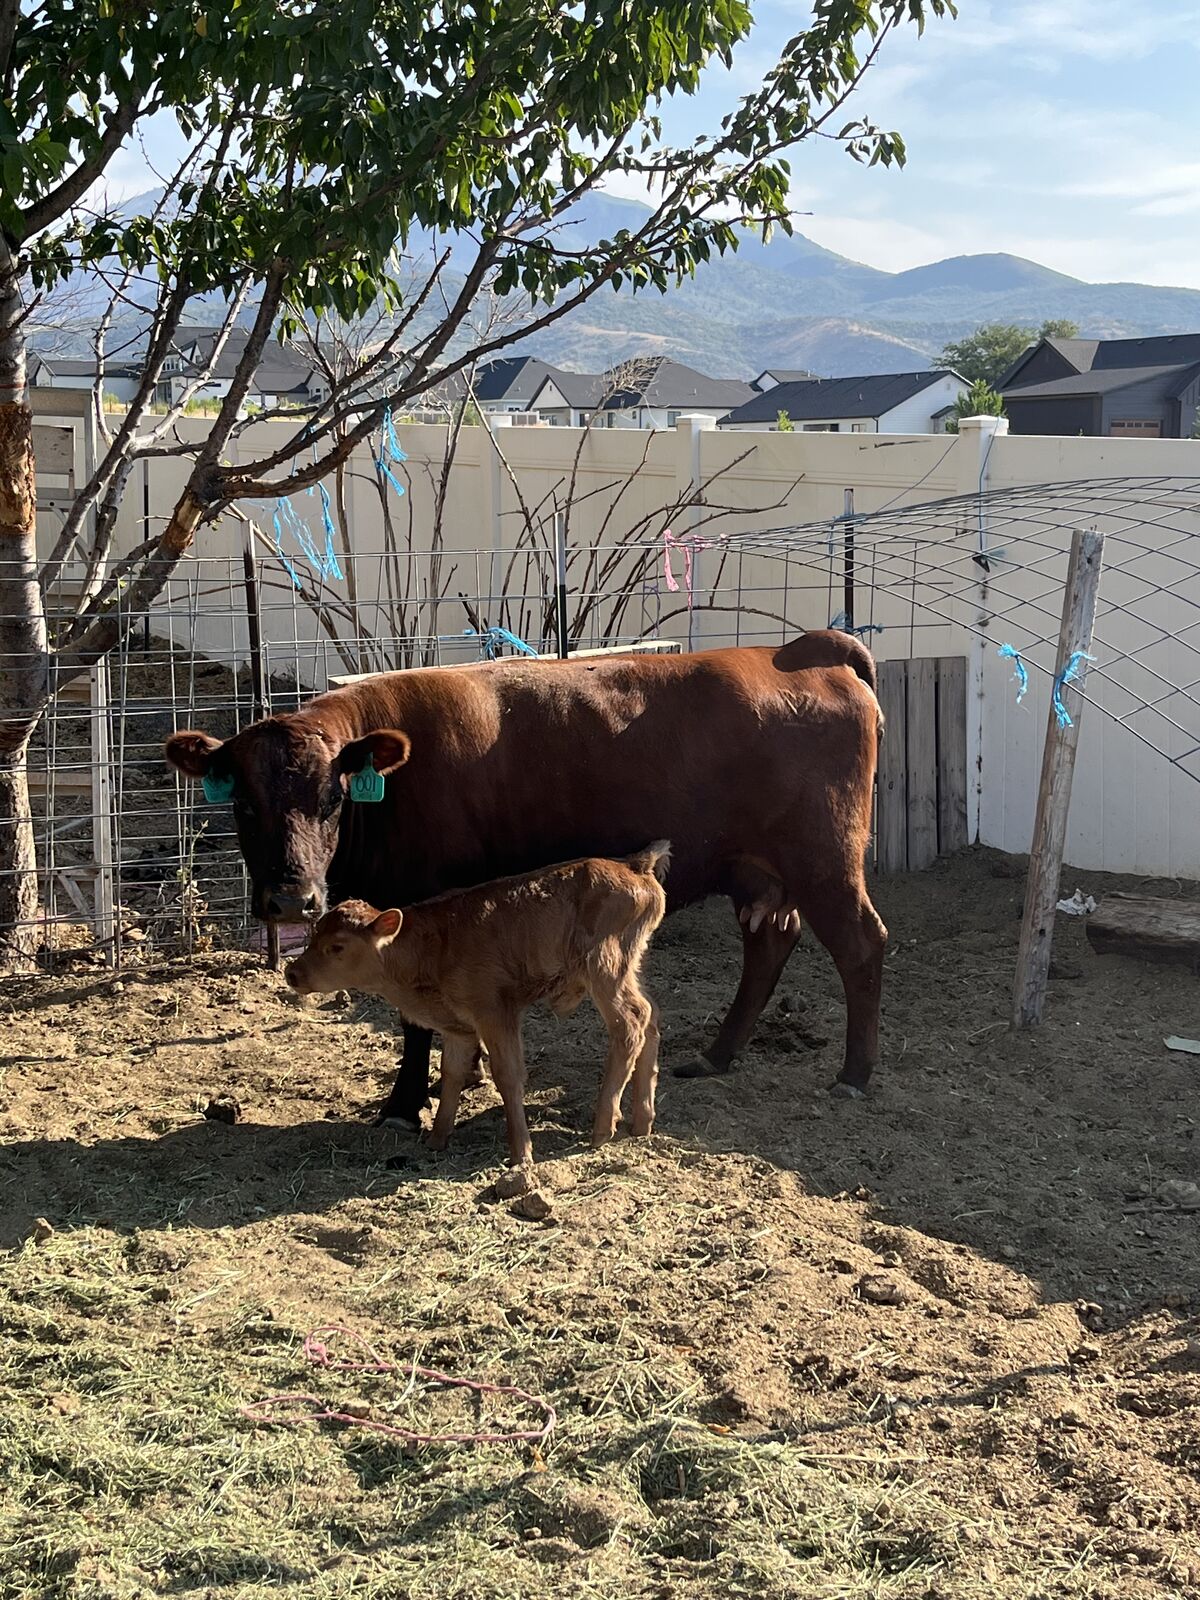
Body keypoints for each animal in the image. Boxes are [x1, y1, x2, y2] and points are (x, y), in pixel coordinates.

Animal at [164, 630, 886, 1130]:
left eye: (332, 798)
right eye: (243, 803)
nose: (292, 898)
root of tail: (799, 650)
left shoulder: (420, 908)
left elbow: (415, 1021)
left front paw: (404, 1102)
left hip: (825, 860)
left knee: (860, 947)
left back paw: (855, 1074)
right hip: (756, 871)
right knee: (769, 944)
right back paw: (717, 1054)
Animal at [284, 842, 670, 1164]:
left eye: (337, 946)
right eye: (313, 935)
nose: (292, 973)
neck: (431, 947)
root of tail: (635, 865)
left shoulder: (496, 1013)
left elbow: (508, 1075)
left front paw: (520, 1153)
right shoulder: (457, 1029)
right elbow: (451, 1073)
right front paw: (437, 1139)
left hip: (604, 968)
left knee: (630, 1024)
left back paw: (603, 1127)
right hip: (629, 968)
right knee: (650, 1016)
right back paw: (642, 1122)